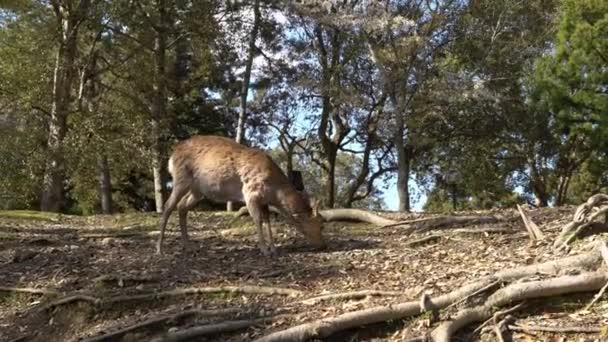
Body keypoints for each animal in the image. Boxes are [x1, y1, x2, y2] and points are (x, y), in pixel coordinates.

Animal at [157, 135, 328, 255]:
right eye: (321, 224)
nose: (322, 245)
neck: (274, 193)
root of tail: (171, 156)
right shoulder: (250, 193)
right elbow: (258, 220)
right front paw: (264, 250)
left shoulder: (265, 201)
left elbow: (267, 221)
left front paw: (273, 248)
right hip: (181, 179)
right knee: (168, 206)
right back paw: (160, 248)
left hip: (197, 191)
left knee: (182, 207)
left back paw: (188, 246)